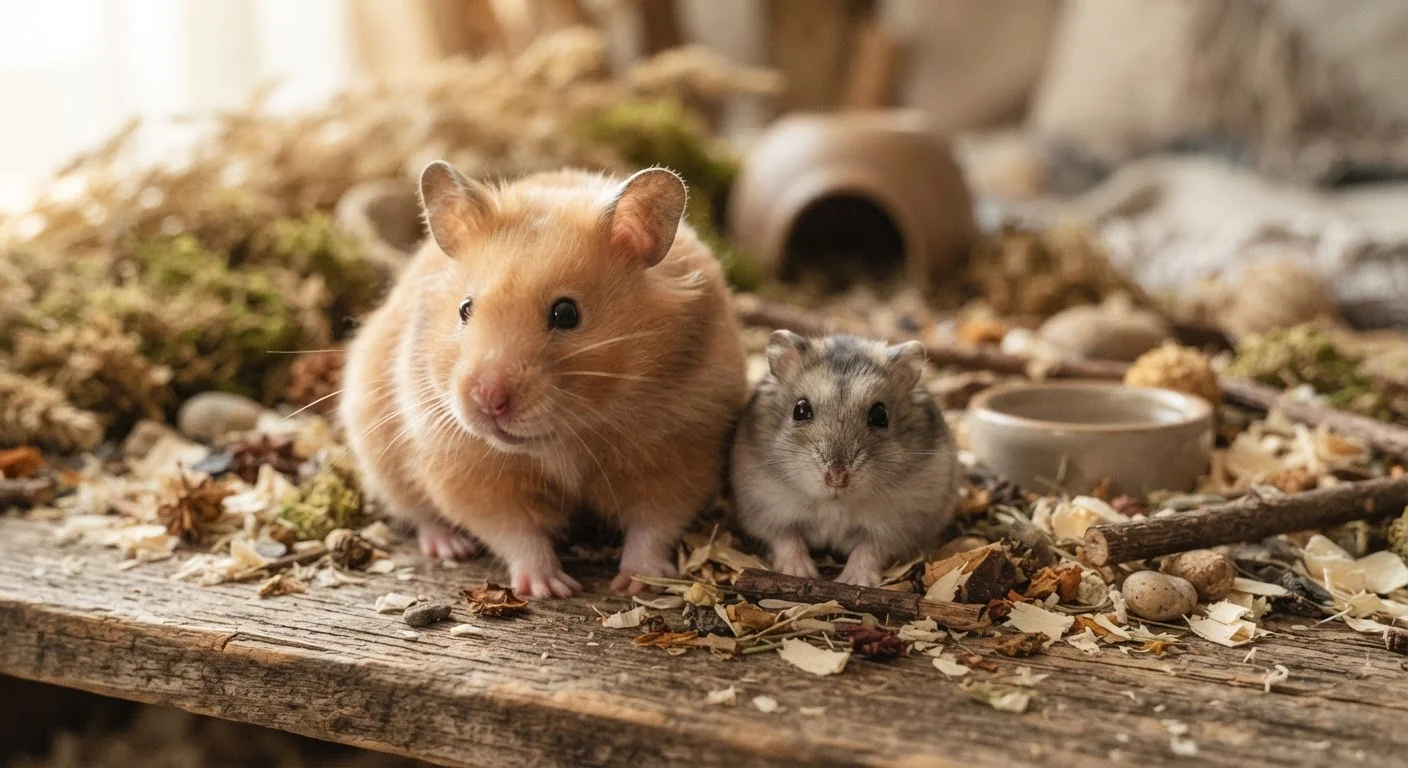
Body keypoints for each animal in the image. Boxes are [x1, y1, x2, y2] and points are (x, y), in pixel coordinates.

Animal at [339, 162, 746, 598]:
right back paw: (450, 547)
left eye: (566, 313)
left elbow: (654, 524)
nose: (487, 399)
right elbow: (514, 531)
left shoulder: (680, 451)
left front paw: (636, 583)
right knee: (418, 513)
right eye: (465, 309)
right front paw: (549, 587)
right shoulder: (467, 471)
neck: (567, 438)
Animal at [730, 332, 960, 587]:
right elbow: (786, 538)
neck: (834, 502)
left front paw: (852, 581)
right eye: (800, 410)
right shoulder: (765, 510)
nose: (837, 478)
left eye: (880, 415)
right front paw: (801, 572)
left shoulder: (902, 525)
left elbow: (870, 548)